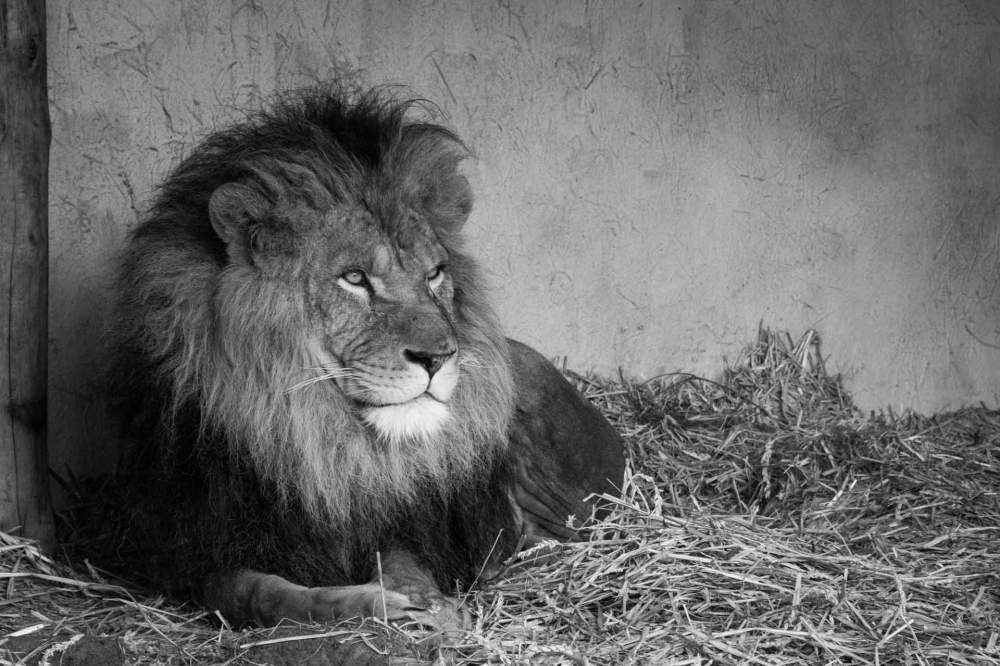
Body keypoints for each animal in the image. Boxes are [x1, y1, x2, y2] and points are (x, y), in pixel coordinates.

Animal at [111, 84, 624, 632]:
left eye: (434, 273)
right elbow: (255, 593)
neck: (315, 439)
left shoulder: (406, 523)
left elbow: (402, 560)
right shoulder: (194, 549)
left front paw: (428, 606)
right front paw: (369, 603)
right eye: (354, 278)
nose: (439, 356)